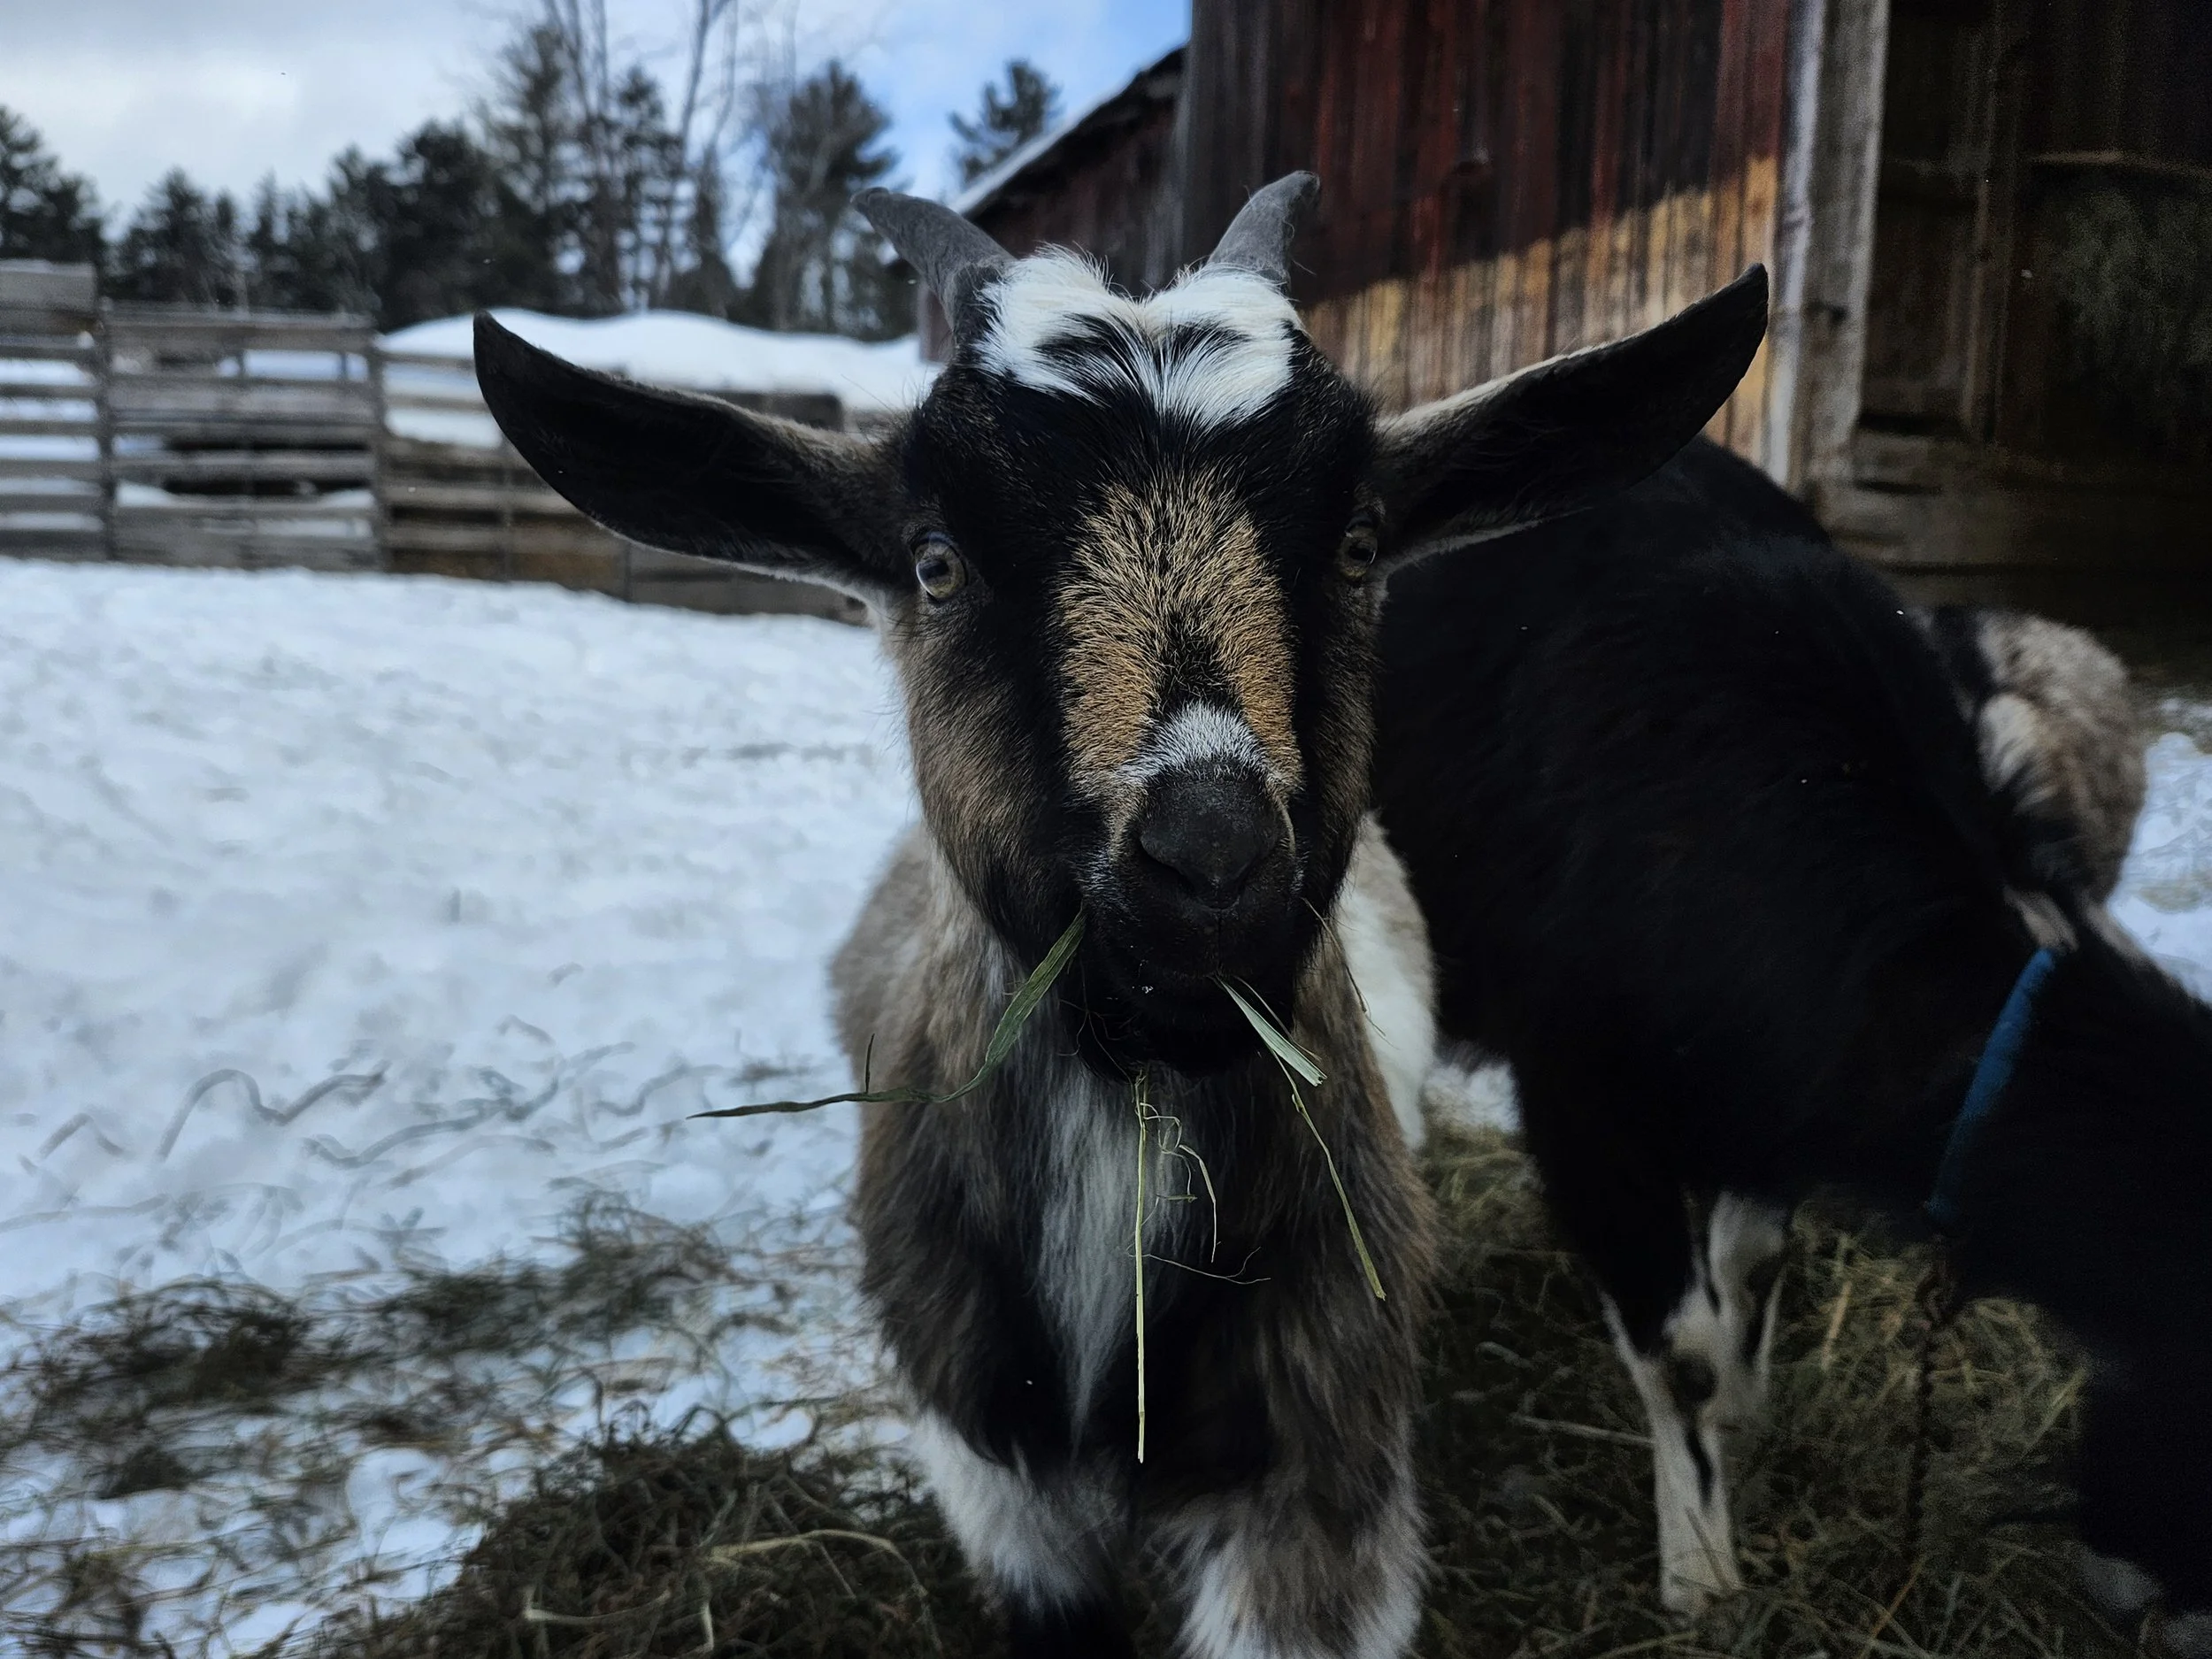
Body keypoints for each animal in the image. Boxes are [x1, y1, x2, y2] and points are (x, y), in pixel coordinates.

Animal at [1373, 442, 2206, 1643]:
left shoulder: (1768, 1094)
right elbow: (1679, 1351)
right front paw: (1702, 1573)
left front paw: (1752, 1414)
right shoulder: (1579, 1100)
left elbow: (1752, 1262)